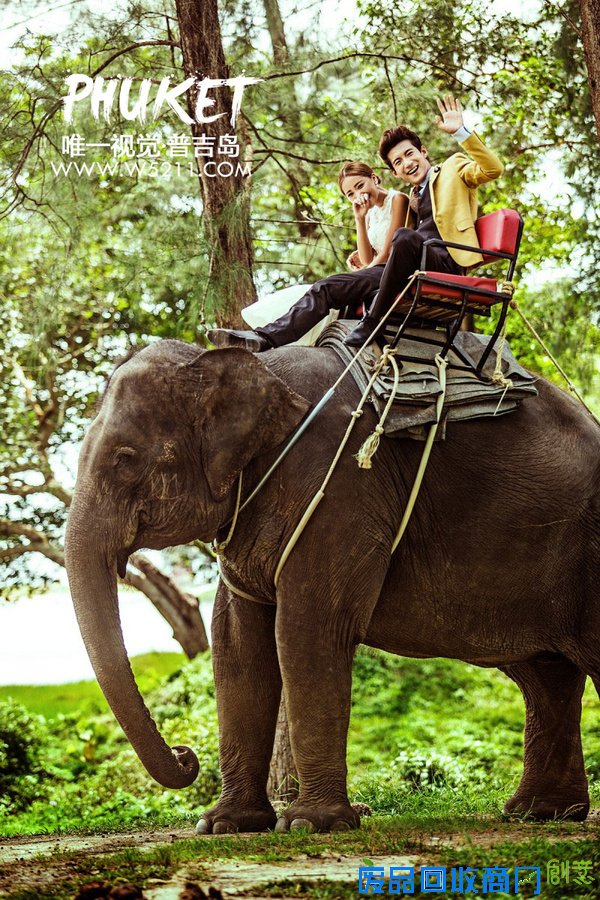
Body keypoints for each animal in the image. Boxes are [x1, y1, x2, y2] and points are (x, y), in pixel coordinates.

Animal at [65, 342, 600, 832]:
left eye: (125, 459)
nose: (184, 754)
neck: (252, 370)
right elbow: (237, 642)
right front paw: (225, 825)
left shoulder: (341, 484)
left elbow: (308, 630)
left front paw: (310, 824)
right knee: (545, 677)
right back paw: (539, 814)